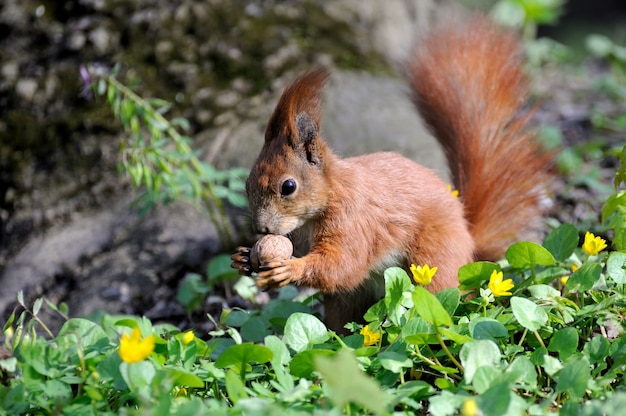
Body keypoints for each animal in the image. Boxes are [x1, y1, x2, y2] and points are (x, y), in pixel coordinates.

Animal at [230, 15, 552, 332]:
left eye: (288, 186)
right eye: (247, 183)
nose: (260, 228)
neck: (331, 193)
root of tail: (468, 243)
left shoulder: (353, 220)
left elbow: (342, 264)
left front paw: (288, 269)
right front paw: (243, 258)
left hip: (434, 261)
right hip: (348, 301)